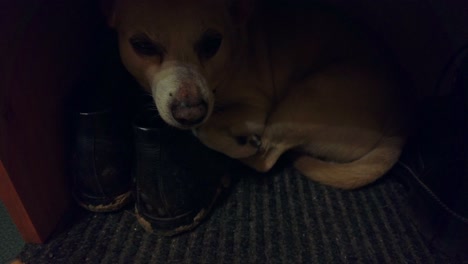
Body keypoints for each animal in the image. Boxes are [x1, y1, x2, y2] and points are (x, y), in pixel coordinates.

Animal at [109, 0, 414, 190]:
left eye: (213, 43)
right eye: (142, 45)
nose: (189, 113)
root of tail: (401, 120)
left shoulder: (254, 108)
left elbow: (206, 129)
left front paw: (235, 141)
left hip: (299, 103)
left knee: (266, 159)